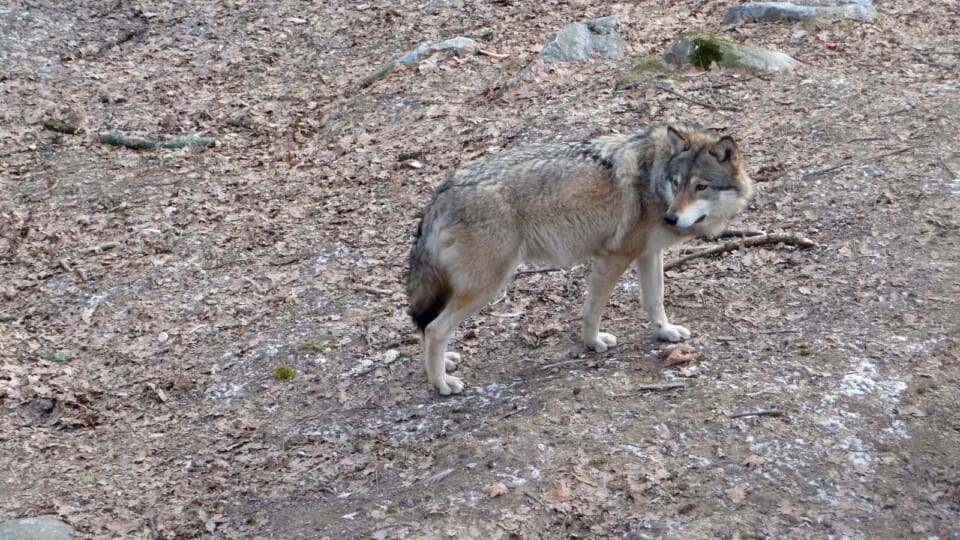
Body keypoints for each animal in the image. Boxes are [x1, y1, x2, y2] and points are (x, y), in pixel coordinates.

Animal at [404, 122, 752, 394]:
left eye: (700, 187)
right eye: (677, 184)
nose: (671, 217)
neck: (653, 178)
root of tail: (444, 190)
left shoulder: (648, 254)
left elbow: (655, 300)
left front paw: (665, 332)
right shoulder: (614, 257)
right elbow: (594, 309)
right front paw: (593, 343)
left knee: (429, 326)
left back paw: (443, 364)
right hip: (488, 285)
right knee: (435, 329)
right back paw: (442, 384)